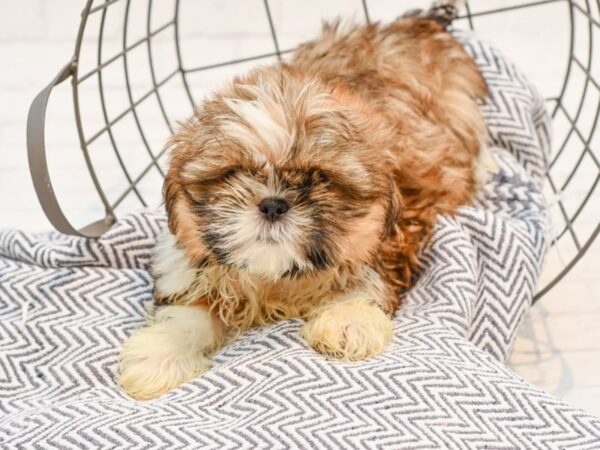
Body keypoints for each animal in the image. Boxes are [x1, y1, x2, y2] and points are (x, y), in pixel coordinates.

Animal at [117, 0, 492, 400]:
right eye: (234, 172)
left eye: (320, 178)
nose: (273, 204)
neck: (277, 280)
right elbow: (192, 309)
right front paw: (162, 352)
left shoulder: (395, 237)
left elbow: (367, 280)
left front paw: (349, 320)